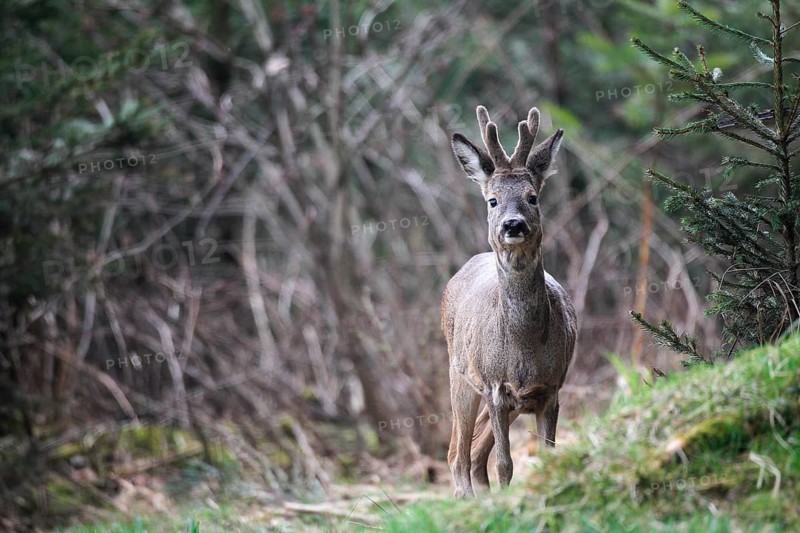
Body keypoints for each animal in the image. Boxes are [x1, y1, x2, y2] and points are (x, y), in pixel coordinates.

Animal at [442, 105, 577, 498]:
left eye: (533, 196)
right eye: (493, 200)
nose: (513, 225)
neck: (524, 343)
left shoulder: (551, 388)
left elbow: (546, 455)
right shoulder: (494, 387)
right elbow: (505, 464)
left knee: (473, 452)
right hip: (459, 374)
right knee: (457, 453)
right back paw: (467, 499)